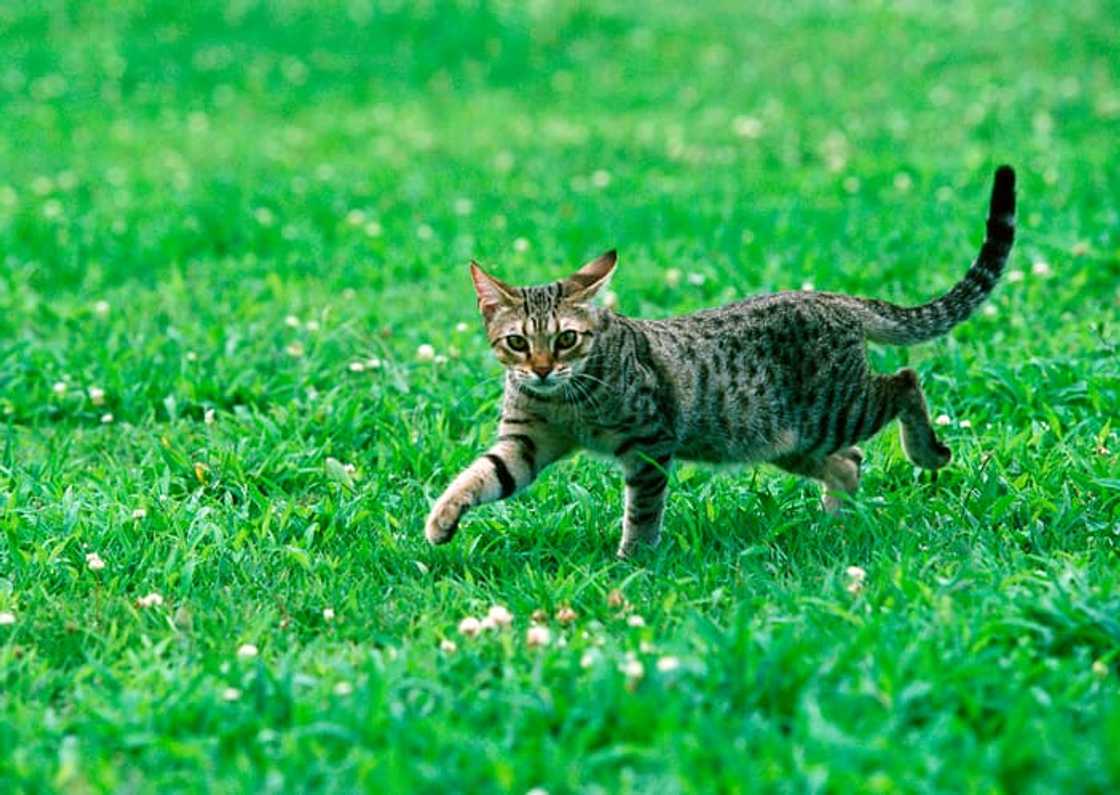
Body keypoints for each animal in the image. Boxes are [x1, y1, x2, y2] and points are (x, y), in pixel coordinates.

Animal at [425, 164, 1016, 557]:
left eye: (566, 339)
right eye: (518, 343)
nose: (544, 369)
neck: (564, 402)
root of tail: (833, 298)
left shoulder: (650, 443)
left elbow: (642, 512)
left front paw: (632, 564)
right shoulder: (525, 442)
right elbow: (480, 475)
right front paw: (440, 520)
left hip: (836, 409)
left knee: (905, 380)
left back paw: (926, 452)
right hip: (793, 441)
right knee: (850, 460)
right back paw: (834, 525)